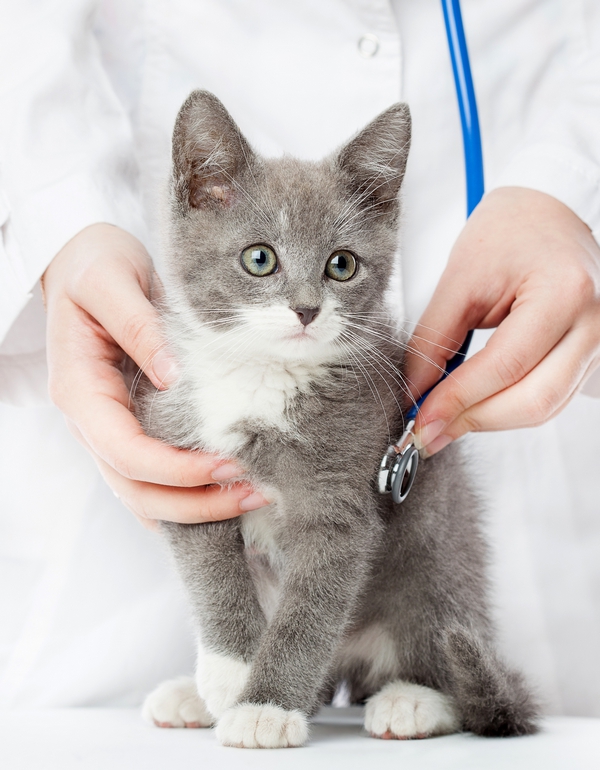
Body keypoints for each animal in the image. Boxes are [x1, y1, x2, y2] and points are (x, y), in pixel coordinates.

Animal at [139, 88, 540, 744]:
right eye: (259, 259)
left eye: (342, 264)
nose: (305, 309)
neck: (265, 378)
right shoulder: (183, 456)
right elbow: (209, 567)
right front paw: (230, 673)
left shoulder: (344, 498)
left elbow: (310, 608)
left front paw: (264, 706)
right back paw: (191, 696)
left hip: (438, 548)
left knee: (447, 651)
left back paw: (413, 701)